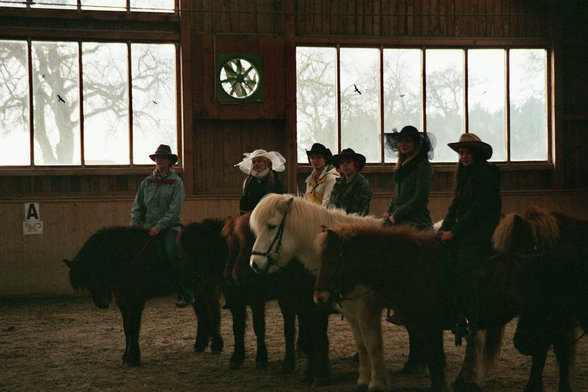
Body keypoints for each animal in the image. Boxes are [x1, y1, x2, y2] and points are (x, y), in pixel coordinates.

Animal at [64, 220, 225, 368]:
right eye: (87, 281)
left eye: (96, 273)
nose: (102, 303)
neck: (128, 258)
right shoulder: (123, 300)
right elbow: (126, 328)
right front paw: (126, 356)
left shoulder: (137, 299)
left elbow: (134, 327)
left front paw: (133, 358)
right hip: (197, 289)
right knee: (202, 313)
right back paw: (200, 344)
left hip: (208, 285)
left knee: (214, 312)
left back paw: (216, 346)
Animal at [314, 224, 516, 392]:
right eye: (320, 260)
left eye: (332, 261)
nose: (319, 298)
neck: (414, 267)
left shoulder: (427, 325)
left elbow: (375, 345)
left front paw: (376, 383)